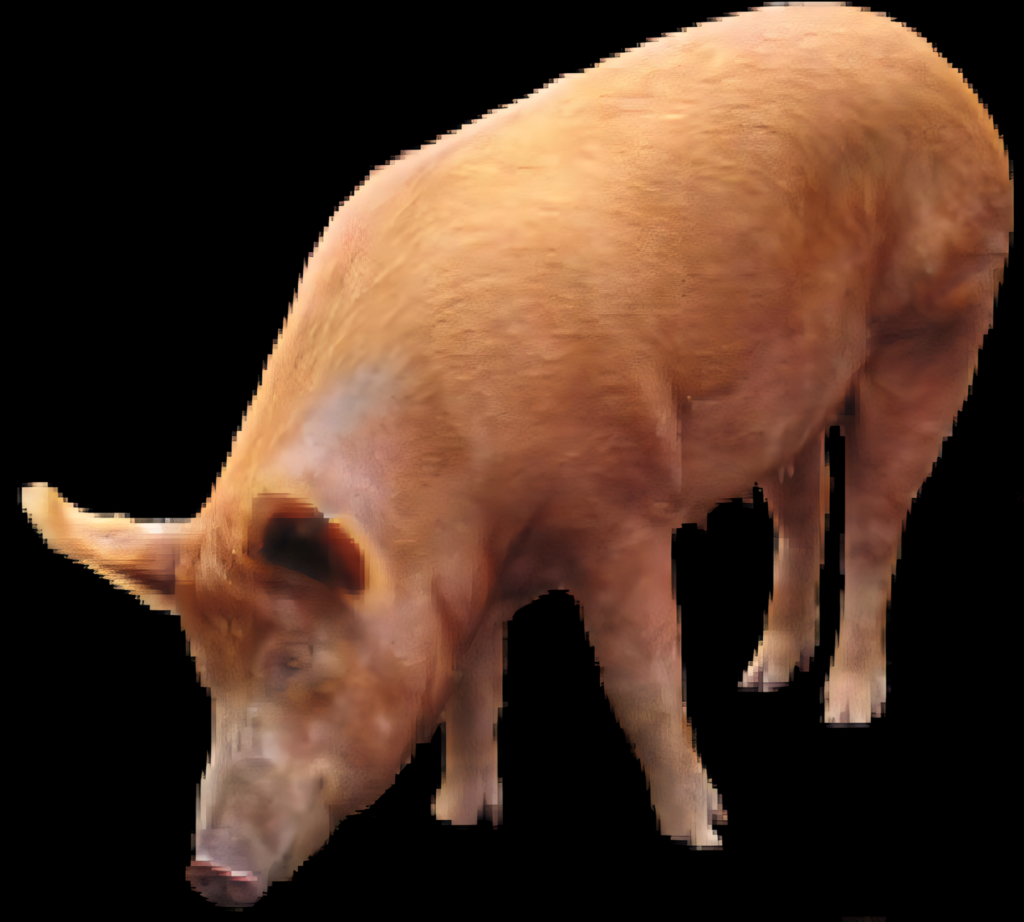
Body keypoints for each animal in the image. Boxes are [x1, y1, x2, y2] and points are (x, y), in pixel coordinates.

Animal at [20, 3, 1011, 908]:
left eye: (297, 657)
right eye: (205, 668)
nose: (210, 872)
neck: (456, 508)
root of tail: (922, 52)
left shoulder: (620, 509)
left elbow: (640, 681)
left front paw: (702, 835)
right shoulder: (470, 580)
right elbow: (471, 687)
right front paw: (459, 818)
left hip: (939, 323)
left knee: (877, 521)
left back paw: (846, 708)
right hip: (794, 396)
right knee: (806, 505)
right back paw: (764, 676)